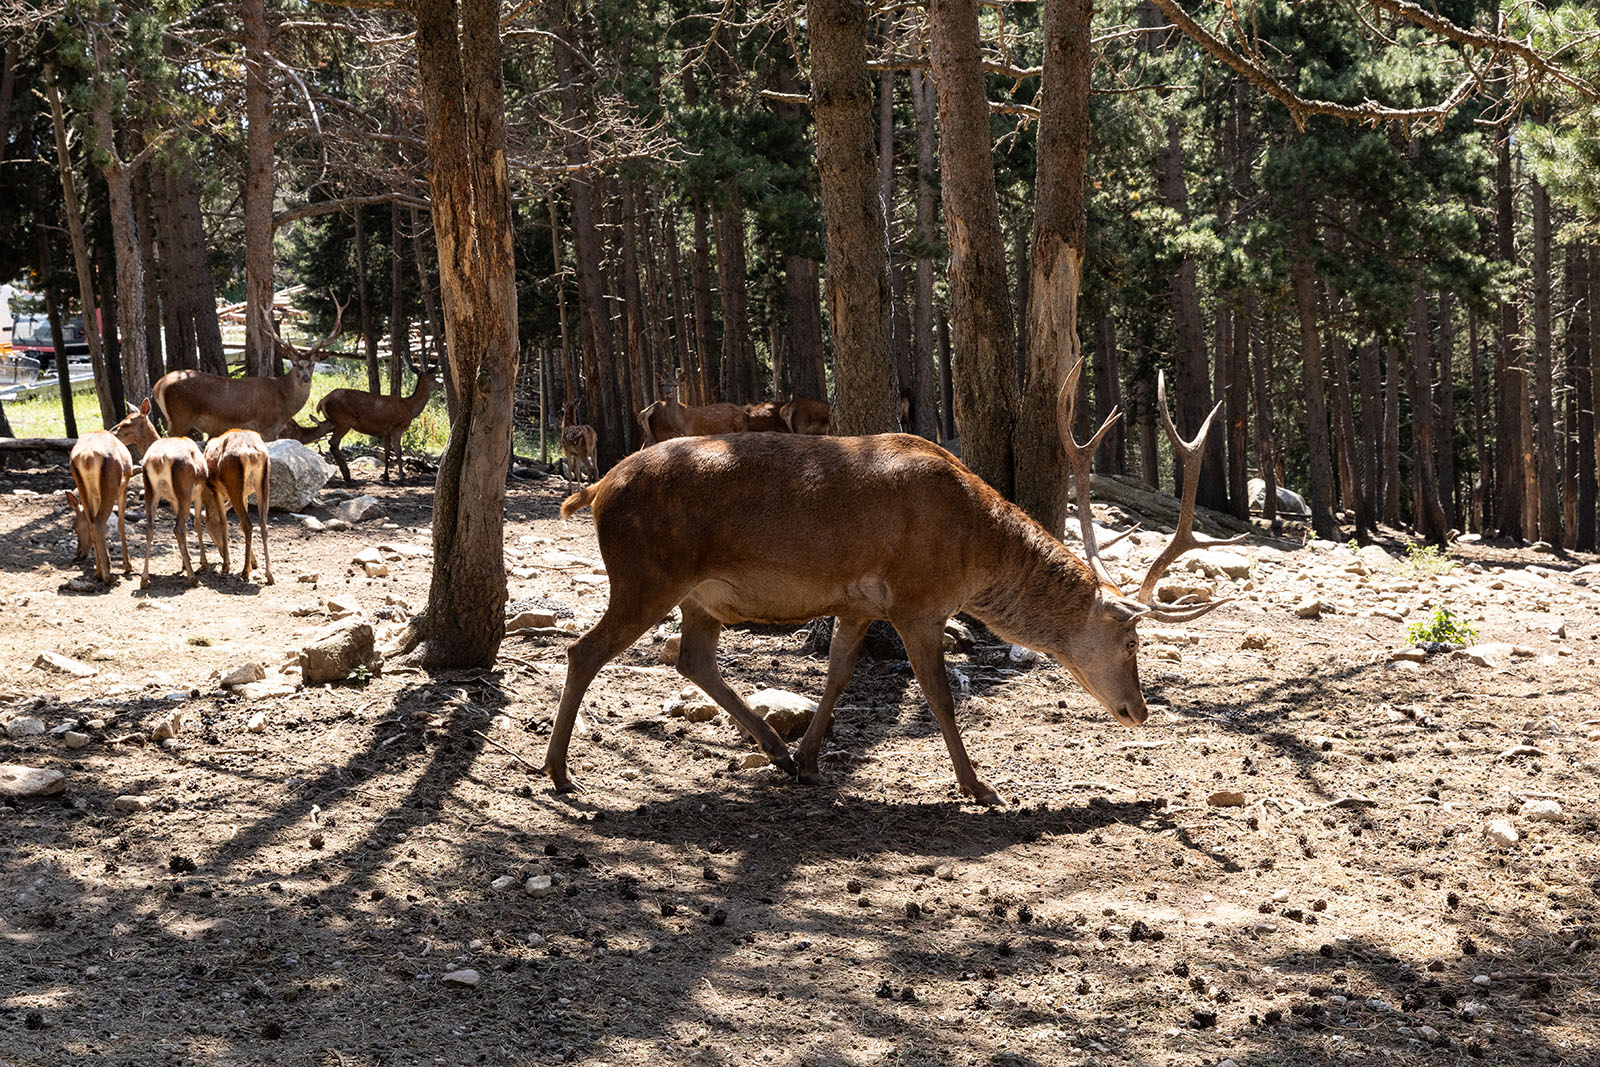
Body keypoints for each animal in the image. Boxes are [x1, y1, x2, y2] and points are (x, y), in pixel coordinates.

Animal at [65, 399, 160, 585]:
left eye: (127, 422)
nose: (79, 554)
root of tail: (86, 456)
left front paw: (102, 565)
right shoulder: (123, 485)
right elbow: (121, 523)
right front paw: (127, 565)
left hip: (84, 486)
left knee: (93, 522)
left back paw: (101, 573)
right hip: (110, 484)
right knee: (99, 523)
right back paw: (108, 576)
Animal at [137, 435, 214, 591]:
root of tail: (159, 459)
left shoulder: (173, 500)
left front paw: (186, 562)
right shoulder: (198, 494)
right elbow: (197, 524)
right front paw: (204, 563)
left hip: (151, 491)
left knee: (150, 528)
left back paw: (144, 579)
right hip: (185, 493)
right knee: (178, 528)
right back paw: (194, 579)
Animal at [152, 299, 344, 441]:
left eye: (312, 364)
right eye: (295, 363)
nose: (305, 378)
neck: (284, 405)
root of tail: (159, 385)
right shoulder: (267, 427)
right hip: (180, 417)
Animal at [203, 428, 275, 588]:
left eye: (208, 529)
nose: (221, 551)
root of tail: (253, 453)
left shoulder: (215, 490)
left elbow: (223, 522)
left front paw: (226, 565)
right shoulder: (246, 494)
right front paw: (254, 563)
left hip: (234, 487)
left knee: (248, 525)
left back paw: (244, 571)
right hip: (263, 485)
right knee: (262, 525)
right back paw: (269, 575)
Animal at [544, 358, 1241, 799]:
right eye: (1132, 641)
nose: (1139, 711)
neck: (973, 553)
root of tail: (597, 489)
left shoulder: (858, 603)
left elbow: (838, 675)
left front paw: (810, 760)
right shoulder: (917, 601)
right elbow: (938, 695)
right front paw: (980, 785)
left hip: (701, 596)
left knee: (691, 658)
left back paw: (774, 750)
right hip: (646, 574)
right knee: (584, 650)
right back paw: (559, 773)